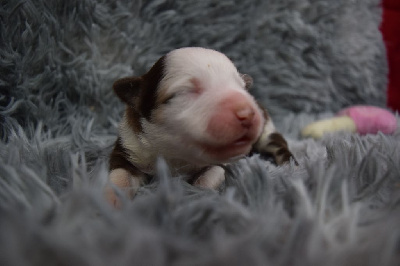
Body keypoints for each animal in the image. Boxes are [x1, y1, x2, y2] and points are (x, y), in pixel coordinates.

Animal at [108, 46, 296, 204]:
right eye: (186, 91)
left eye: (243, 89)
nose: (248, 113)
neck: (177, 156)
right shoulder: (129, 148)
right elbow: (120, 176)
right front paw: (111, 202)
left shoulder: (221, 162)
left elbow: (208, 178)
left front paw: (195, 195)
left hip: (266, 130)